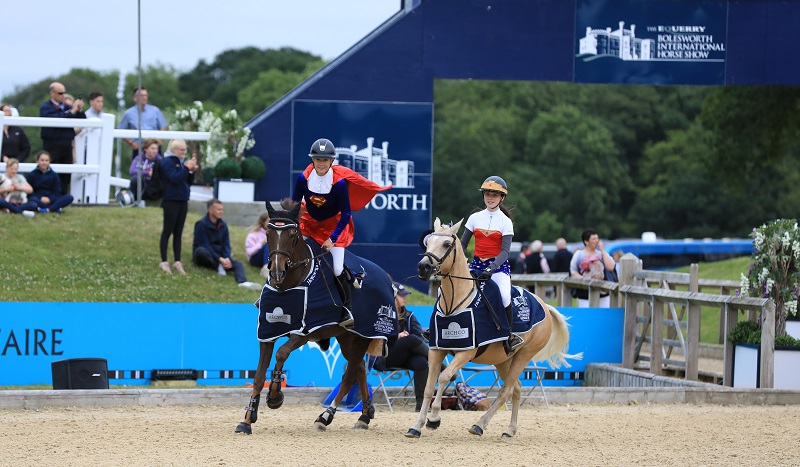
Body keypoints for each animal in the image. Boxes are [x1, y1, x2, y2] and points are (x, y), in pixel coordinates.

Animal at [233, 205, 396, 436]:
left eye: (293, 235)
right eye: (268, 234)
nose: (276, 271)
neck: (289, 286)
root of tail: (385, 276)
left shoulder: (308, 330)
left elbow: (281, 354)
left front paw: (275, 396)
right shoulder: (267, 332)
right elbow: (258, 376)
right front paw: (247, 420)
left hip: (364, 334)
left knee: (350, 375)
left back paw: (325, 417)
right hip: (347, 338)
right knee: (359, 370)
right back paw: (364, 415)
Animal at [410, 218, 580, 438]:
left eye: (447, 244)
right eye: (428, 242)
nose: (423, 267)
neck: (454, 305)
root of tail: (543, 304)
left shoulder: (466, 352)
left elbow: (445, 376)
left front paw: (434, 418)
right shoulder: (436, 350)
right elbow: (429, 386)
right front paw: (417, 425)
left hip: (524, 355)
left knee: (506, 390)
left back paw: (479, 424)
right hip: (503, 359)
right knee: (516, 388)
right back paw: (509, 429)